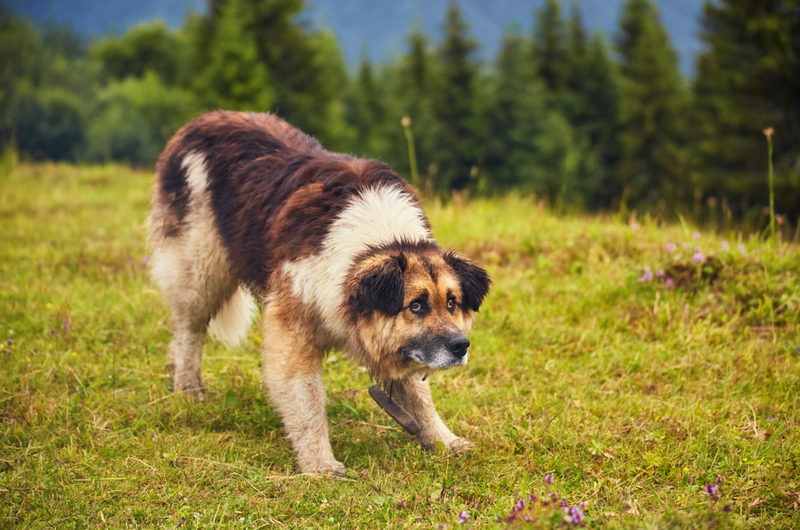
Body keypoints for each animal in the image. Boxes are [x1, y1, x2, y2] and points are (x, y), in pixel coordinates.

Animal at [147, 110, 490, 474]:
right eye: (416, 305)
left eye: (452, 303)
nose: (461, 346)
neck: (375, 243)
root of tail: (206, 118)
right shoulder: (291, 333)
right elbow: (307, 401)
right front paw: (319, 464)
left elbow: (419, 396)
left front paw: (443, 441)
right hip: (199, 270)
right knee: (188, 330)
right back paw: (188, 387)